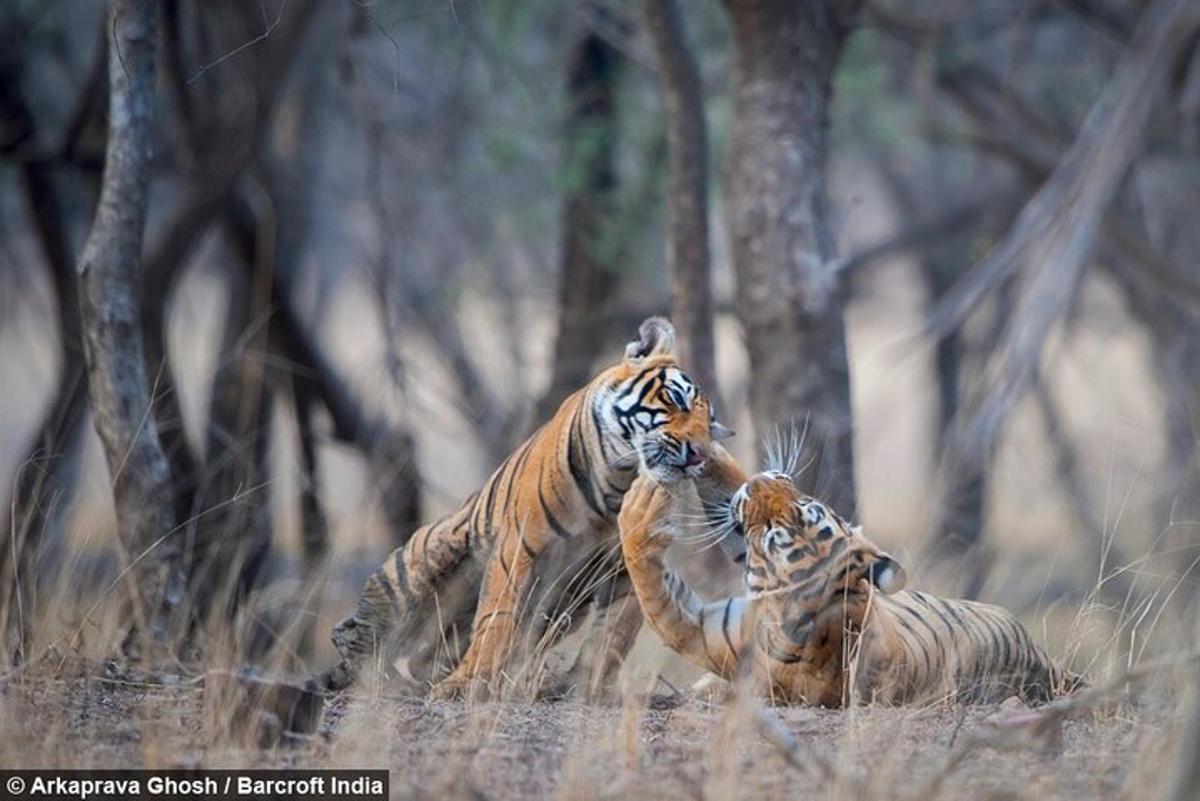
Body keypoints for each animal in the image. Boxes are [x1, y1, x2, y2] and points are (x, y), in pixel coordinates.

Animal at [319, 316, 729, 695]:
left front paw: (587, 688)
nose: (699, 454)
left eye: (709, 425)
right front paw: (468, 684)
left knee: (423, 657)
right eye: (675, 400)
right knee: (353, 635)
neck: (620, 484)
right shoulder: (518, 550)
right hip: (420, 564)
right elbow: (497, 619)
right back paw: (379, 677)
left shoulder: (627, 567)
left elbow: (614, 633)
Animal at [619, 460, 1080, 705]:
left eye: (770, 529)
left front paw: (644, 500)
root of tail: (1039, 662)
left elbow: (650, 584)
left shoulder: (698, 629)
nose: (761, 479)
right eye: (808, 503)